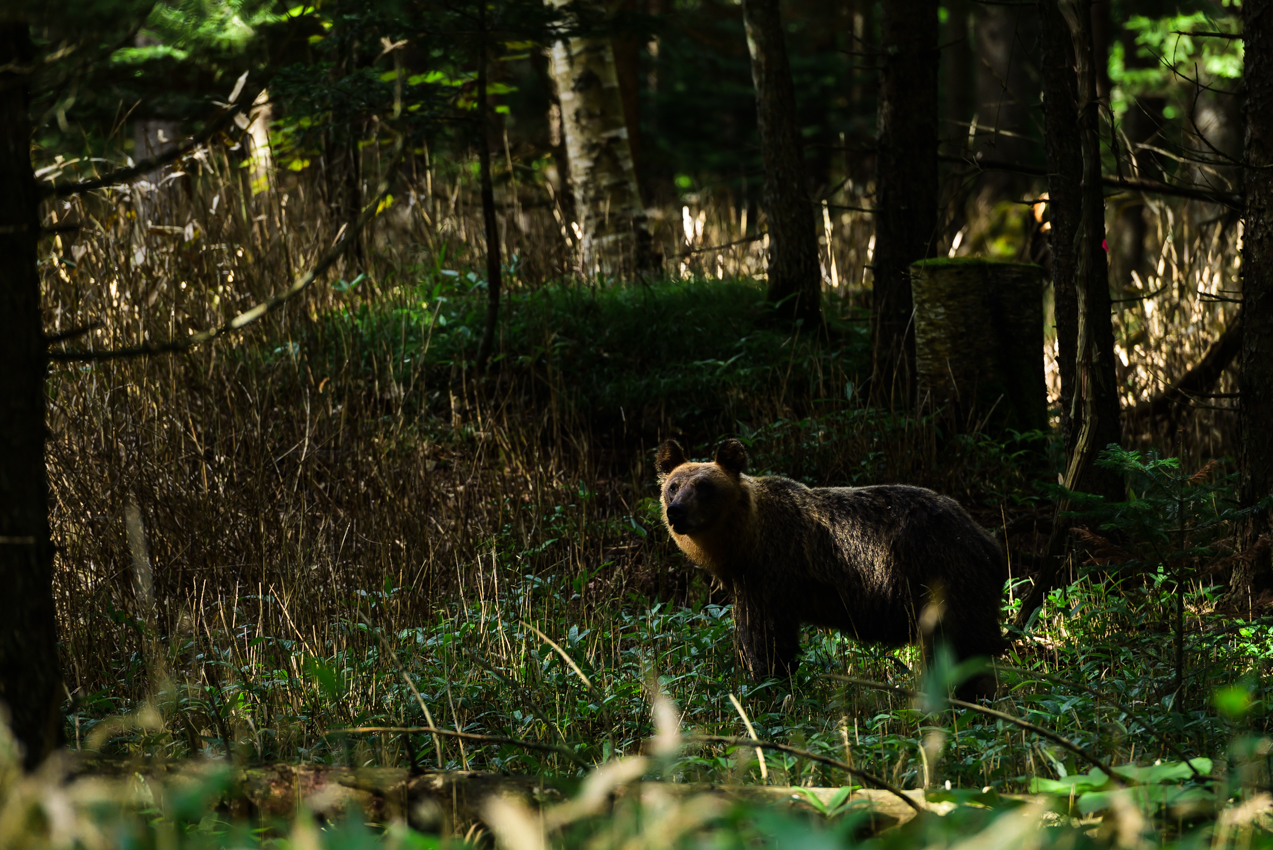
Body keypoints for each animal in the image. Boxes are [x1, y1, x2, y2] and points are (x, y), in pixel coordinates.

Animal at [656, 437, 1003, 697]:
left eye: (704, 486)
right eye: (673, 485)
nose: (677, 511)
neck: (743, 543)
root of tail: (987, 539)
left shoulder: (772, 573)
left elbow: (766, 642)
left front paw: (768, 685)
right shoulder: (748, 583)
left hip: (944, 578)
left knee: (963, 651)